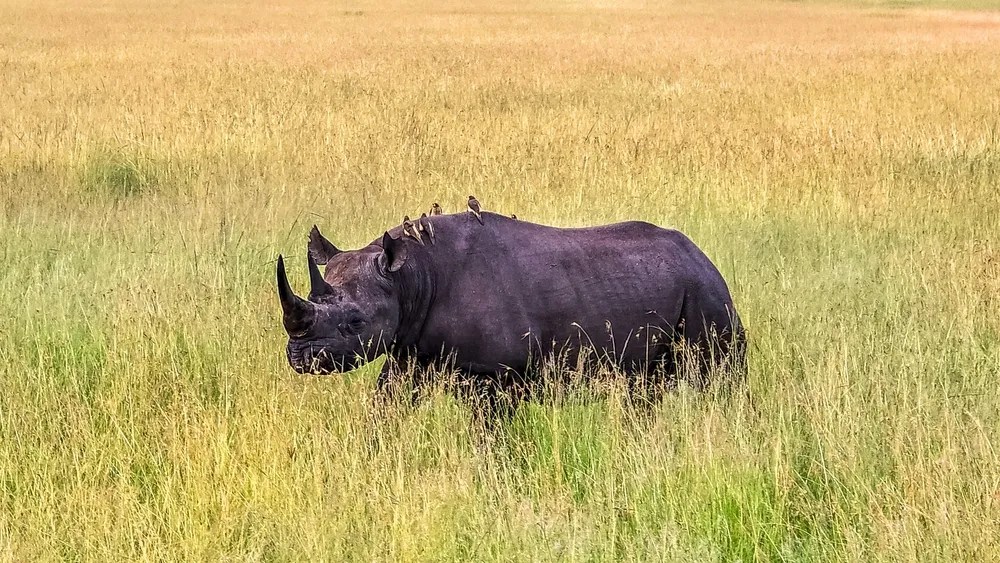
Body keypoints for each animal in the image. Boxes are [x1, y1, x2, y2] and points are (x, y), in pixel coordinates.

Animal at [277, 212, 745, 411]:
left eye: (355, 322)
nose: (299, 357)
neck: (410, 278)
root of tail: (702, 256)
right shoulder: (409, 352)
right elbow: (385, 407)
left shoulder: (495, 374)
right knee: (644, 388)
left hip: (707, 292)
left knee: (717, 376)